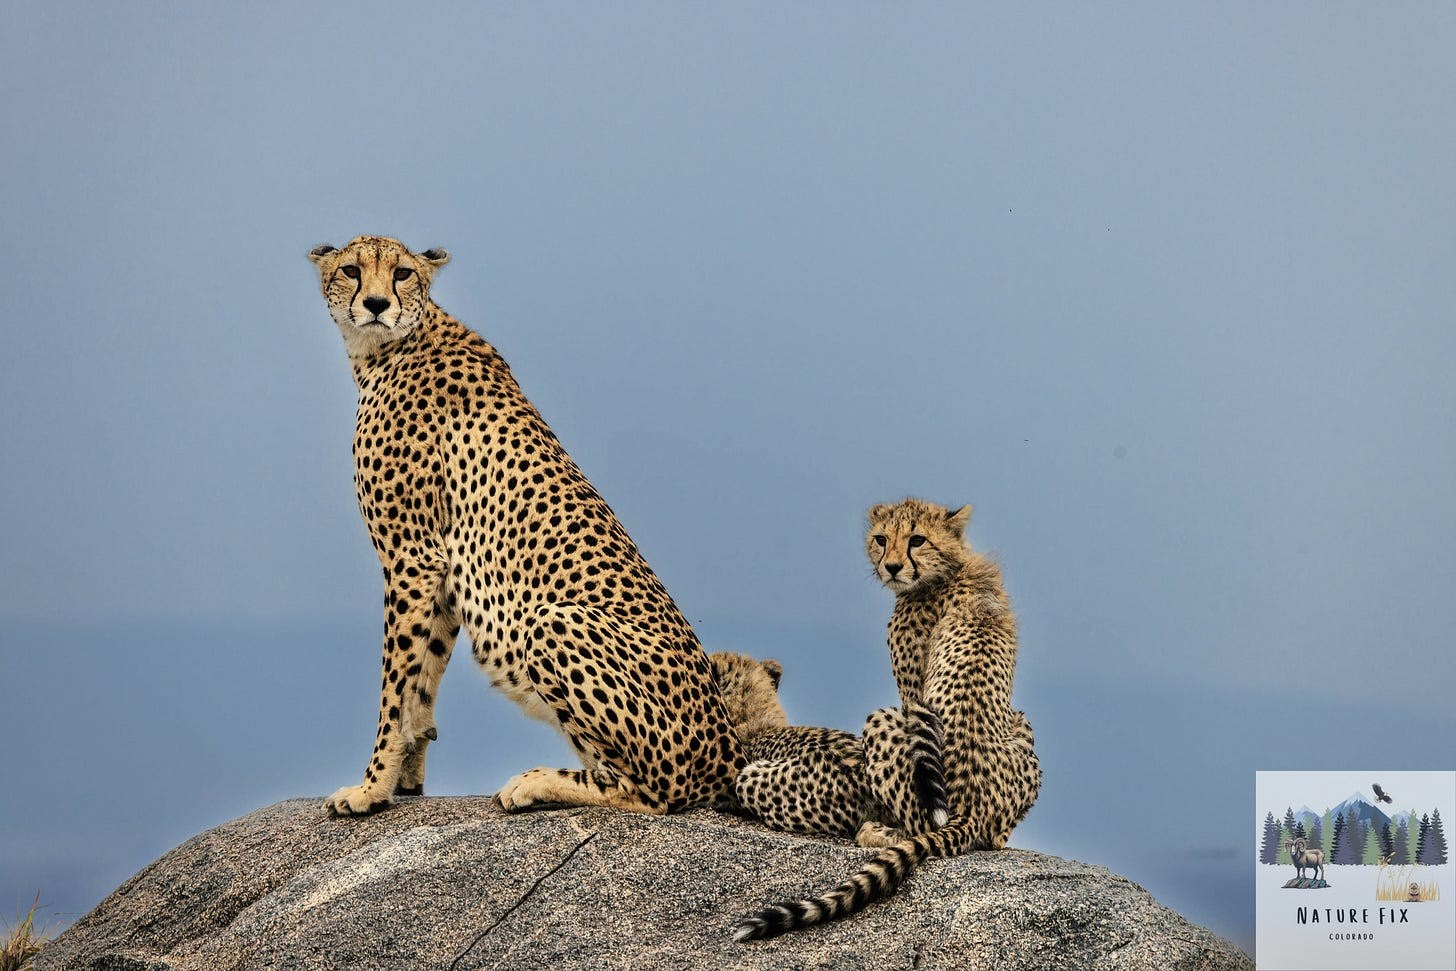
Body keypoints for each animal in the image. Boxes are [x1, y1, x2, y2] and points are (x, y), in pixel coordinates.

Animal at [307, 235, 743, 817]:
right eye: (352, 270)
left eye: (401, 274)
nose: (377, 304)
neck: (391, 347)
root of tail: (731, 751)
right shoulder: (443, 569)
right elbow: (422, 682)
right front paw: (407, 778)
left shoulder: (411, 557)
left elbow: (394, 688)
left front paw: (371, 787)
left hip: (554, 621)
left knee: (654, 792)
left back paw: (535, 781)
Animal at [732, 497, 1041, 940]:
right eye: (881, 539)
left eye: (917, 539)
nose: (892, 567)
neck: (951, 567)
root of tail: (971, 812)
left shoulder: (911, 696)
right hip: (1021, 726)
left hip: (886, 721)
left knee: (917, 825)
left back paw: (874, 831)